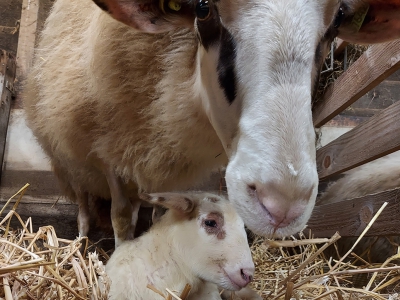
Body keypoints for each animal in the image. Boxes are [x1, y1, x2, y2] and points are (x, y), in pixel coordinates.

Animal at [23, 0, 400, 245]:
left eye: (337, 22)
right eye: (203, 9)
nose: (282, 204)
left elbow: (161, 212)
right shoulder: (108, 152)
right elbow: (119, 217)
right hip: (67, 158)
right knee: (82, 197)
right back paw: (82, 233)